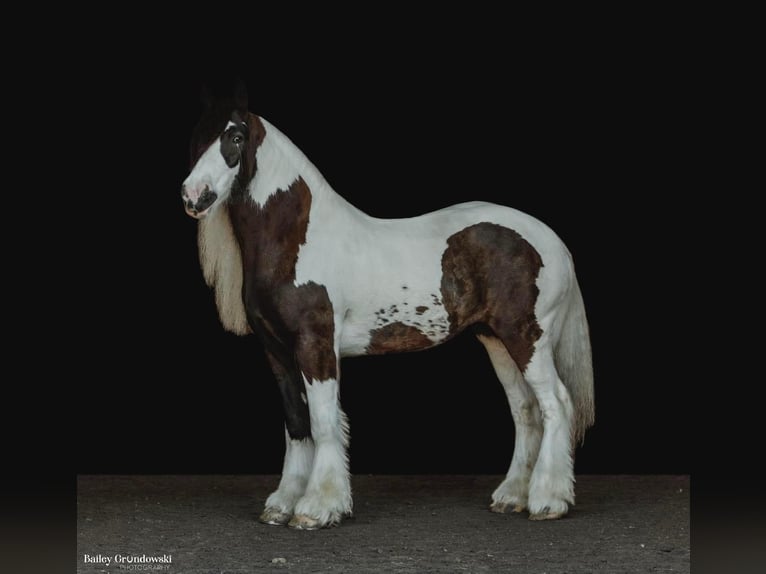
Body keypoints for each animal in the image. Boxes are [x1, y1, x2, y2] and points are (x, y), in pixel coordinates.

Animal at [183, 84, 596, 532]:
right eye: (197, 136)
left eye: (235, 137)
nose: (194, 196)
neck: (298, 240)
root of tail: (552, 241)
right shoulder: (275, 349)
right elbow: (297, 424)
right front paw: (282, 503)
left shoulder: (315, 344)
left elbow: (324, 422)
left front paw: (318, 507)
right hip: (496, 340)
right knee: (525, 411)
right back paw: (512, 496)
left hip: (528, 337)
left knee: (556, 404)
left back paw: (548, 501)